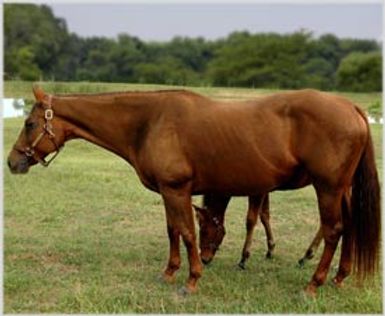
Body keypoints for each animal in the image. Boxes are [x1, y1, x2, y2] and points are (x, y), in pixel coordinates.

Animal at [7, 86, 380, 296]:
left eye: (29, 123)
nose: (12, 162)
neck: (149, 122)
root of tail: (352, 108)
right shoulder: (168, 192)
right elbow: (173, 231)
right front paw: (170, 272)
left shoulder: (177, 190)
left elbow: (186, 233)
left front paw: (192, 280)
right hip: (341, 190)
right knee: (349, 228)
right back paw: (339, 277)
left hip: (327, 188)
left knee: (333, 231)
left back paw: (313, 284)